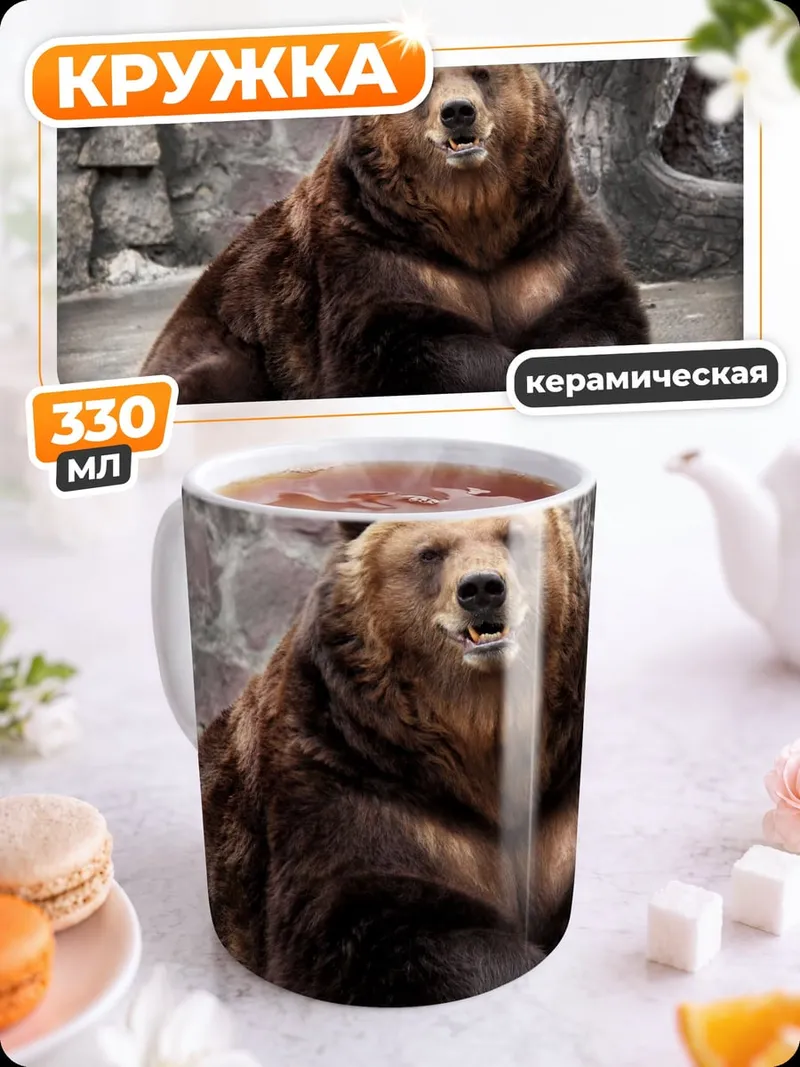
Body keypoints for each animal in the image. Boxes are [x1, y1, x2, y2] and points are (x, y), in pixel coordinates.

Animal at [141, 64, 649, 404]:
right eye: (426, 84)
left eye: (483, 73)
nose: (458, 112)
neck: (472, 227)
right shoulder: (373, 252)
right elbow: (398, 345)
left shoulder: (546, 251)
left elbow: (596, 318)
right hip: (235, 337)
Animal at [198, 509, 590, 1007]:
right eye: (429, 553)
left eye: (513, 536)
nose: (483, 588)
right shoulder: (354, 777)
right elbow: (357, 928)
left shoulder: (558, 800)